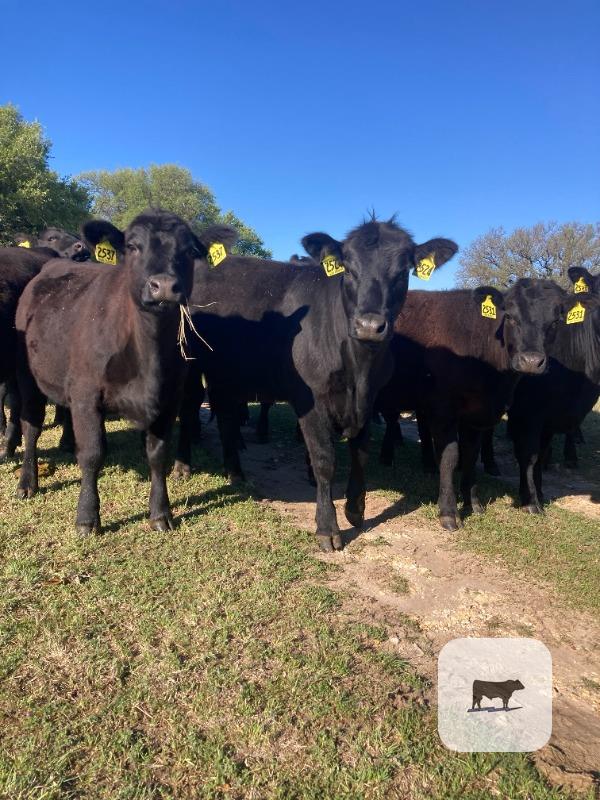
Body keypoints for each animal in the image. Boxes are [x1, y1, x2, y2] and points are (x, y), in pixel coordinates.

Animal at [14, 209, 204, 534]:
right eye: (132, 246)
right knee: (32, 429)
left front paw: (160, 513)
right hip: (29, 378)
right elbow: (92, 455)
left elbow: (157, 454)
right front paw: (87, 518)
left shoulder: (169, 398)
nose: (164, 285)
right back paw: (27, 482)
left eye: (189, 251)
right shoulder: (86, 395)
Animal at [178, 217, 458, 550]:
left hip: (226, 372)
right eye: (348, 269)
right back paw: (183, 466)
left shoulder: (368, 401)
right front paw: (328, 528)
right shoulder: (309, 399)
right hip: (189, 364)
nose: (369, 326)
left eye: (403, 272)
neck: (358, 370)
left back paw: (235, 472)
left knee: (225, 416)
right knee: (188, 407)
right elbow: (325, 460)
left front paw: (355, 509)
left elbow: (361, 453)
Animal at [376, 280, 573, 531]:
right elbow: (450, 457)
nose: (530, 361)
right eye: (509, 316)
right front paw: (449, 512)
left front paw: (473, 503)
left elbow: (470, 454)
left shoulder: (476, 415)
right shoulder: (443, 410)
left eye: (556, 320)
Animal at [507, 268, 600, 513]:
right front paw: (530, 501)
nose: (531, 362)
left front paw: (538, 492)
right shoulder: (528, 413)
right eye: (510, 317)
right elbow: (529, 455)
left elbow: (541, 453)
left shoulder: (552, 416)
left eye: (557, 319)